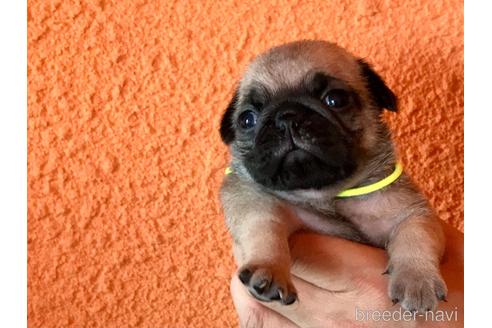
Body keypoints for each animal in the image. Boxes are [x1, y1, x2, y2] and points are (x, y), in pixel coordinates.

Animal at [219, 41, 446, 312]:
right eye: (247, 119)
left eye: (335, 99)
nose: (286, 116)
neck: (326, 195)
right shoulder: (254, 202)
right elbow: (264, 229)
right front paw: (269, 268)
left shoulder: (410, 212)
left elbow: (415, 236)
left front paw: (417, 279)